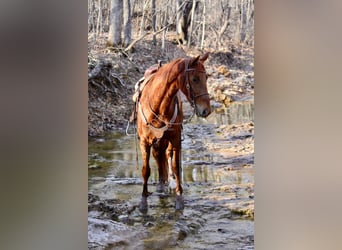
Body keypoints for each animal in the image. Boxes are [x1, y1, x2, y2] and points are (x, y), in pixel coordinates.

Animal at [136, 52, 211, 211]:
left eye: (206, 77)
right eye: (195, 79)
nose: (206, 110)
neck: (158, 104)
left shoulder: (175, 138)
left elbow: (176, 167)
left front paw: (179, 197)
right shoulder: (144, 142)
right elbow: (146, 170)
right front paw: (143, 201)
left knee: (166, 155)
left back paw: (168, 181)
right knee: (158, 156)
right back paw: (161, 183)